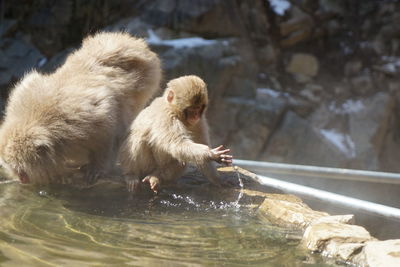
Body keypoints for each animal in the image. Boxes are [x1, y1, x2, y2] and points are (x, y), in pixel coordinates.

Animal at [0, 31, 162, 185]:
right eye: (13, 167)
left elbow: (108, 133)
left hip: (146, 81)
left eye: (21, 169)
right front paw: (62, 174)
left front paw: (96, 169)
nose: (22, 179)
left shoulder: (89, 117)